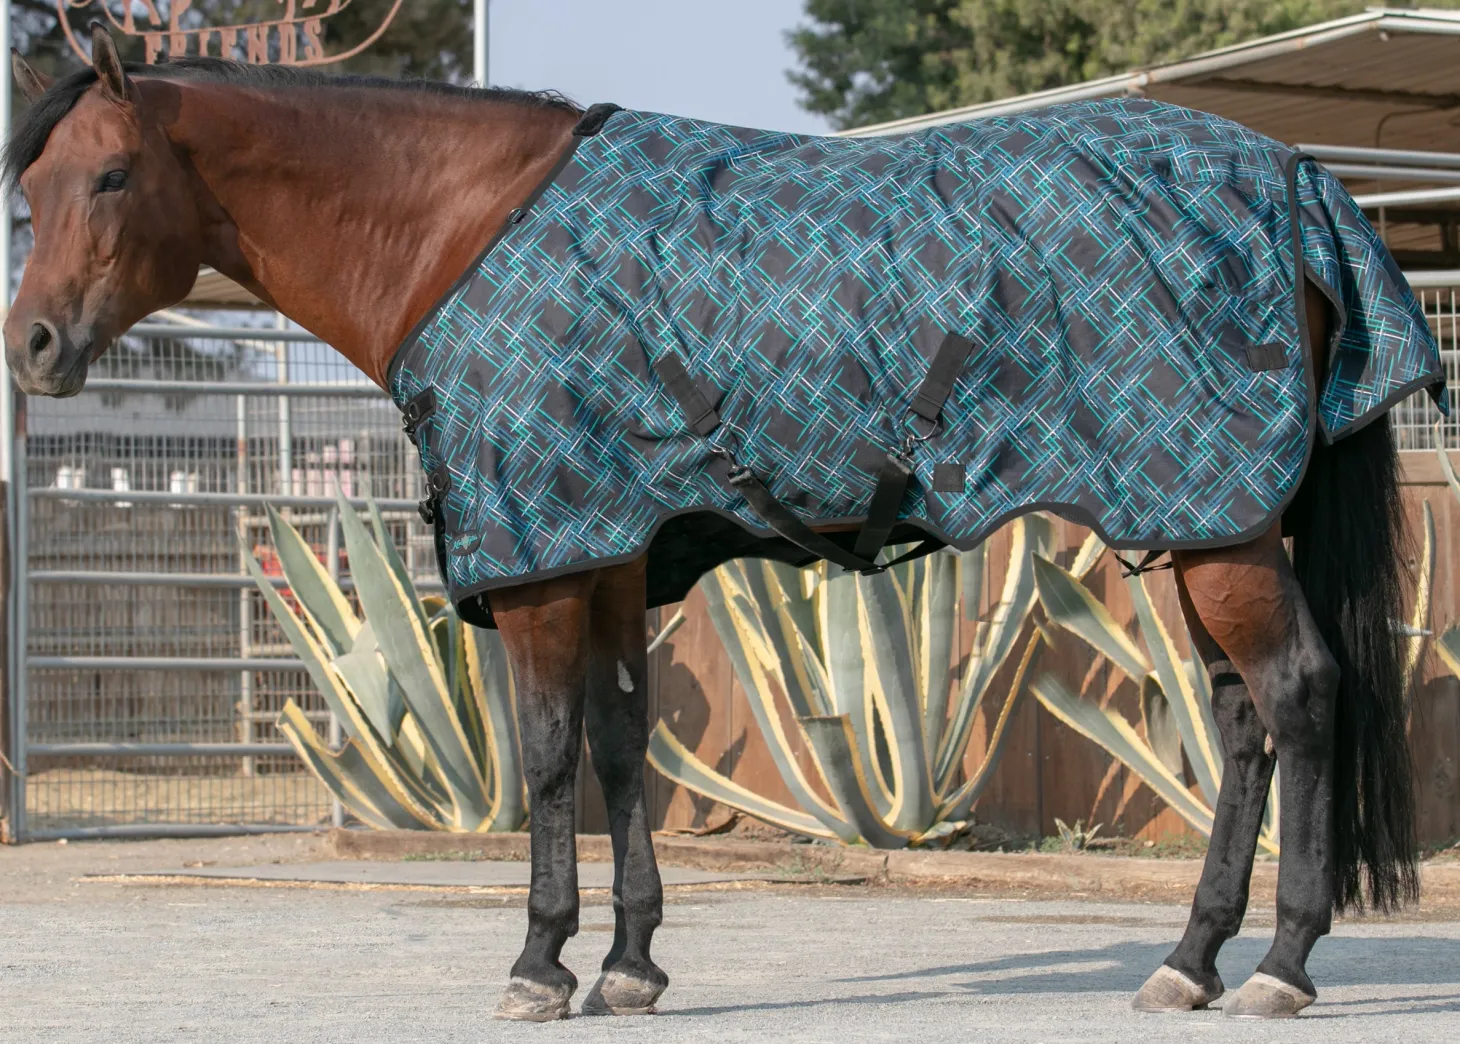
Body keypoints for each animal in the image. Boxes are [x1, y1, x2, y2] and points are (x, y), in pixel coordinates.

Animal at [4, 25, 1439, 1021]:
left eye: (113, 176)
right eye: (39, 185)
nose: (34, 347)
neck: (462, 230)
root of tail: (1297, 181)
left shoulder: (542, 566)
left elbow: (547, 760)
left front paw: (540, 965)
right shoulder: (610, 558)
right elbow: (624, 750)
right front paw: (632, 966)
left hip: (1217, 528)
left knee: (1298, 695)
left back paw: (1282, 965)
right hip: (1198, 524)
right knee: (1242, 721)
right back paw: (1188, 961)